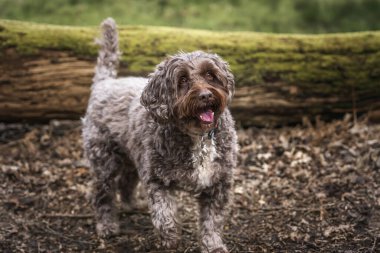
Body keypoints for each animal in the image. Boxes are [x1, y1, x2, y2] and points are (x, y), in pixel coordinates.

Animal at [82, 18, 238, 253]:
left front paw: (213, 245)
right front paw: (170, 241)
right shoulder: (159, 181)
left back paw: (131, 204)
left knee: (126, 181)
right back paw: (107, 226)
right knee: (103, 194)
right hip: (104, 161)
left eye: (210, 75)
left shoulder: (217, 184)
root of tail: (105, 83)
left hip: (133, 156)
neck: (197, 136)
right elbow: (165, 216)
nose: (205, 95)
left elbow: (212, 221)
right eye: (182, 80)